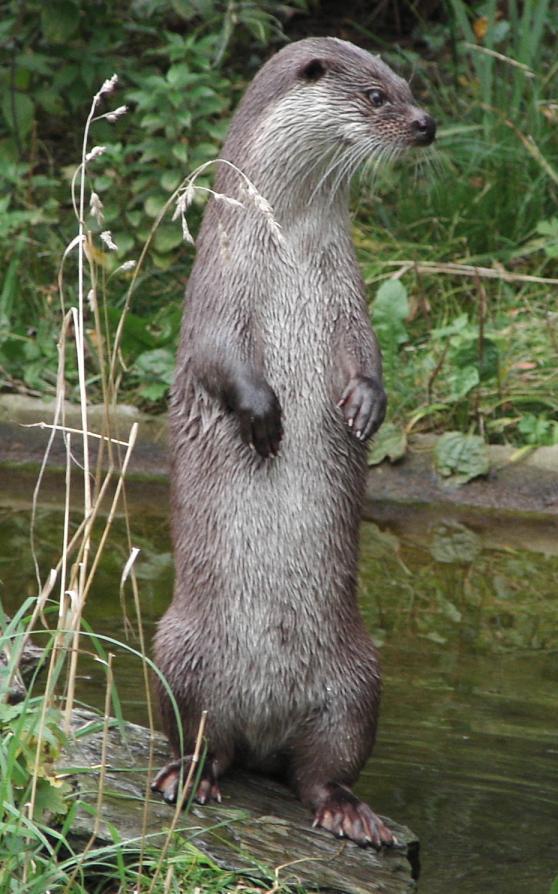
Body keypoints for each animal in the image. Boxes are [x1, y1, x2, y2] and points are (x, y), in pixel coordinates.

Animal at [152, 36, 435, 847]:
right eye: (375, 96)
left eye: (406, 84)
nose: (426, 124)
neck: (285, 249)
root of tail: (261, 726)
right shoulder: (217, 289)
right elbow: (220, 361)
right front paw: (265, 418)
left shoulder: (348, 292)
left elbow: (369, 356)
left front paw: (365, 408)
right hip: (177, 653)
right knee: (201, 738)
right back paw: (190, 779)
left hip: (360, 682)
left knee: (320, 770)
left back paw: (348, 812)